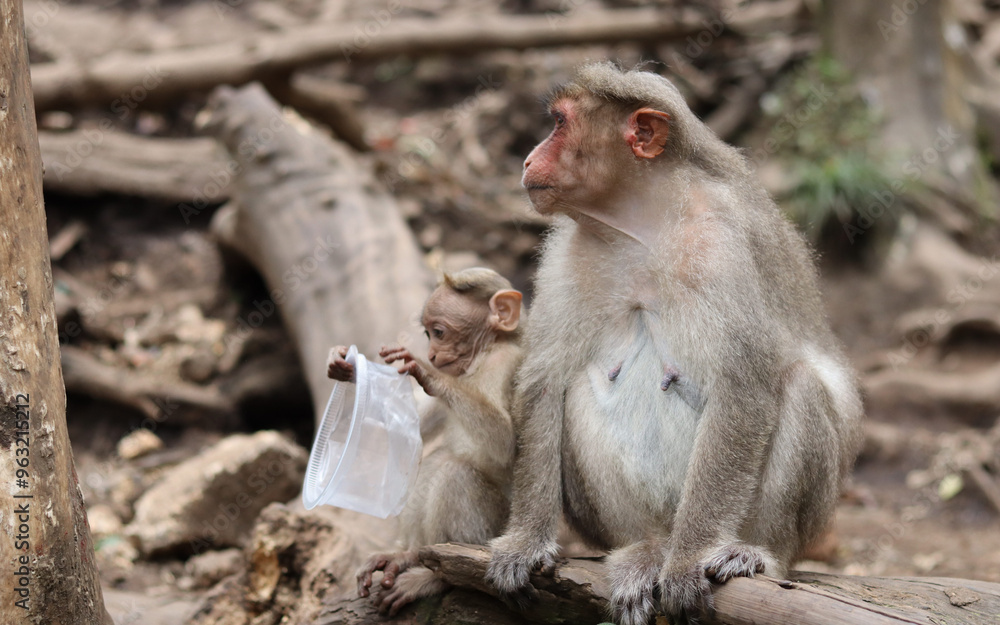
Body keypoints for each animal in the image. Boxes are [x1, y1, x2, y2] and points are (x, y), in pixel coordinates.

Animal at [327, 267, 525, 616]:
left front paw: (425, 370)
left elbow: (505, 443)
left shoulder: (505, 362)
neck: (482, 358)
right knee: (435, 462)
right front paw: (346, 368)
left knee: (453, 472)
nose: (432, 353)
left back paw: (439, 576)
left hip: (494, 532)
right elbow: (409, 428)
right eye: (428, 333)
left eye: (440, 332)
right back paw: (405, 555)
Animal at [484, 63, 864, 625]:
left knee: (798, 386)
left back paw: (747, 553)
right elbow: (544, 382)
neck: (644, 225)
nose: (528, 158)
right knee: (575, 389)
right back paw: (645, 549)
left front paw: (689, 561)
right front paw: (527, 541)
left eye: (558, 123)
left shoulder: (721, 248)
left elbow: (743, 390)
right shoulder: (569, 250)